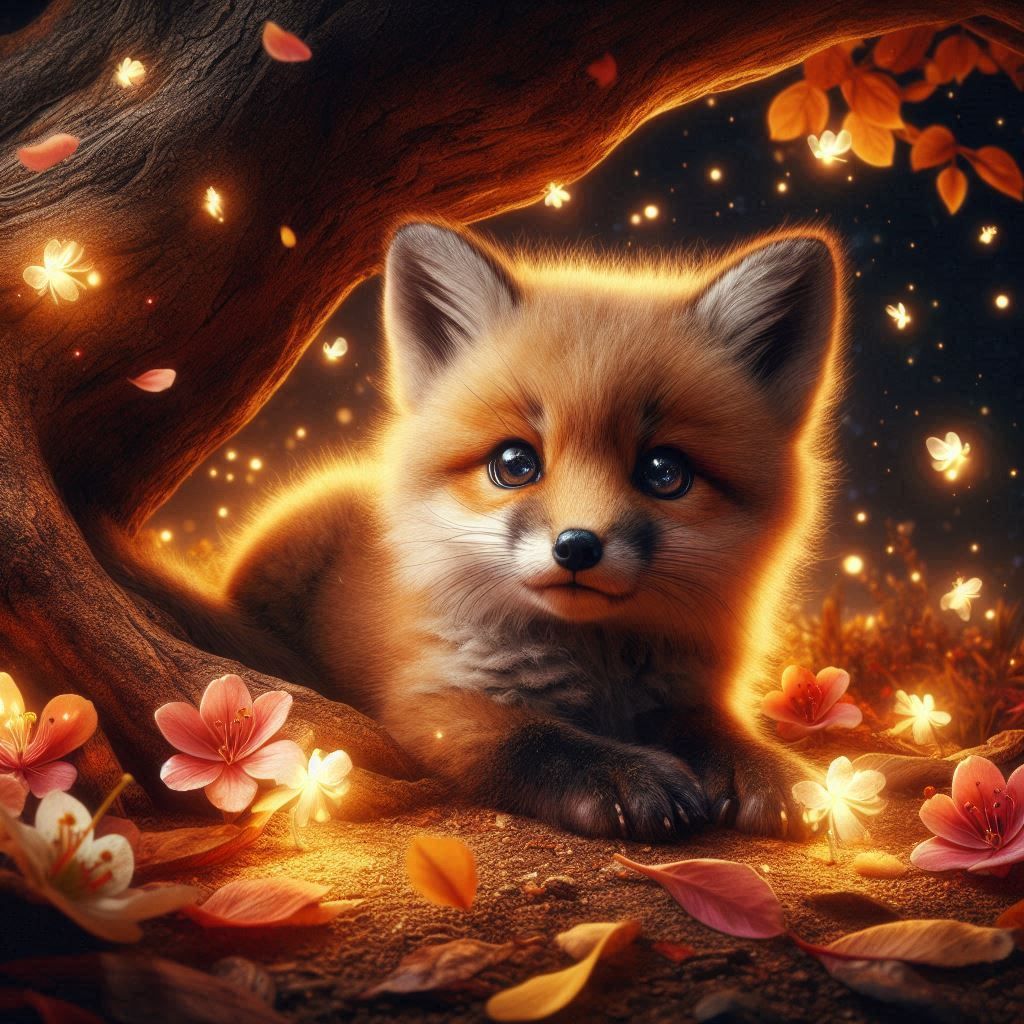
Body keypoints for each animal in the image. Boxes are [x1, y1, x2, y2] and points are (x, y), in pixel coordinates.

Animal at [204, 220, 844, 842]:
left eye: (665, 472)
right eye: (514, 464)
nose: (577, 546)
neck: (597, 664)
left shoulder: (687, 690)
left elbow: (714, 728)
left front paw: (768, 770)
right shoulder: (432, 702)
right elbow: (538, 741)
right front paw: (625, 773)